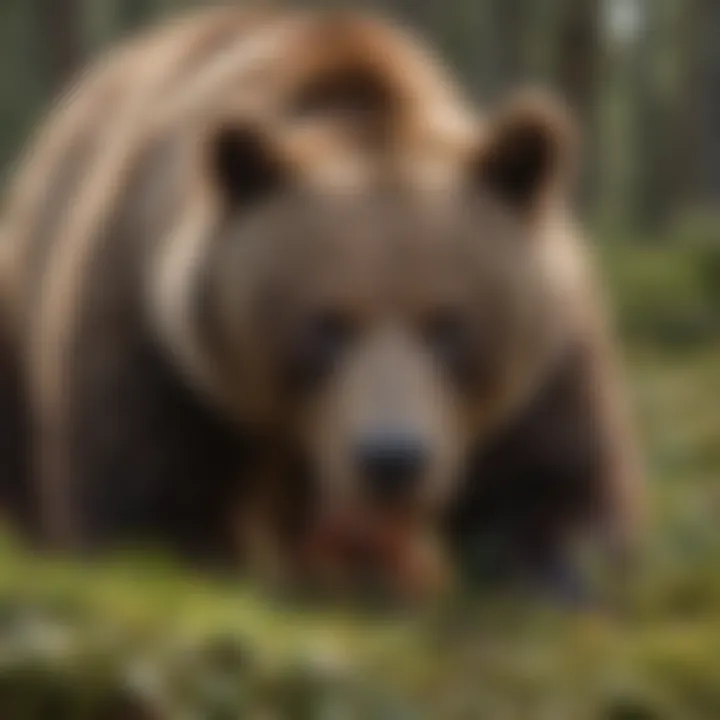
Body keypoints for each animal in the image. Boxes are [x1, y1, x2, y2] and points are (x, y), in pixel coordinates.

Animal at [0, 7, 640, 600]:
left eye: (448, 326)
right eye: (327, 325)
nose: (392, 459)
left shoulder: (548, 329)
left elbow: (552, 460)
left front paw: (553, 568)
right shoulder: (148, 321)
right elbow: (146, 471)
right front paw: (193, 555)